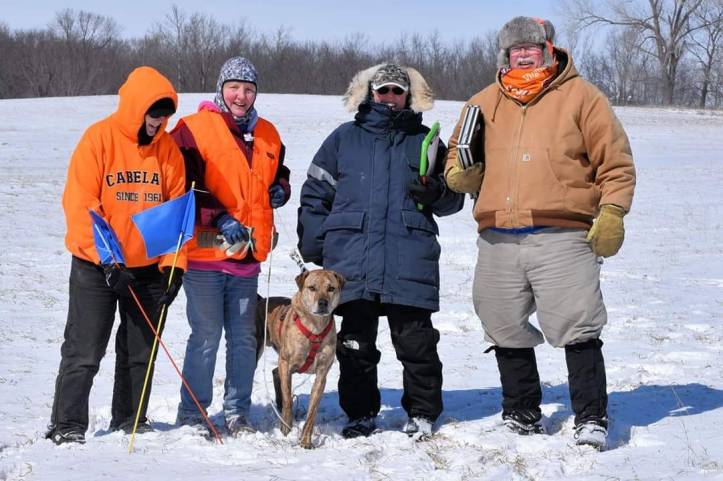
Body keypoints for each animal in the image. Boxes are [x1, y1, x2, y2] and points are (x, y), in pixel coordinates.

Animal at [256, 269, 344, 449]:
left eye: (331, 288)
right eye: (312, 287)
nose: (323, 303)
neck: (315, 327)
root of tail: (261, 300)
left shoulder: (322, 373)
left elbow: (312, 412)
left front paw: (305, 441)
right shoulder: (286, 363)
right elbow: (289, 400)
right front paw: (286, 429)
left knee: (275, 372)